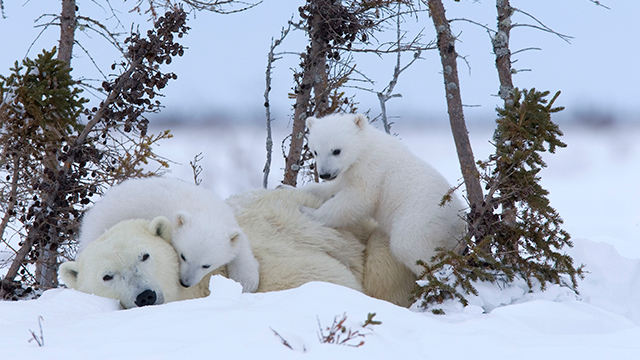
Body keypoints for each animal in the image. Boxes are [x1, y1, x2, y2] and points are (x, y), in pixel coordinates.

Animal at [79, 177, 258, 292]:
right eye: (183, 256)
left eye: (206, 265)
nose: (185, 283)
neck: (203, 210)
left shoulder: (227, 217)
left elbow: (241, 246)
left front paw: (247, 282)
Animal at [300, 112, 464, 276]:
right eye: (315, 151)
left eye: (336, 150)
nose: (325, 174)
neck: (365, 149)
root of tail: (458, 218)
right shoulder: (347, 173)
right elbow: (332, 189)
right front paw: (298, 190)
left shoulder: (371, 170)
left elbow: (358, 198)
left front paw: (309, 212)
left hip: (421, 218)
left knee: (408, 245)